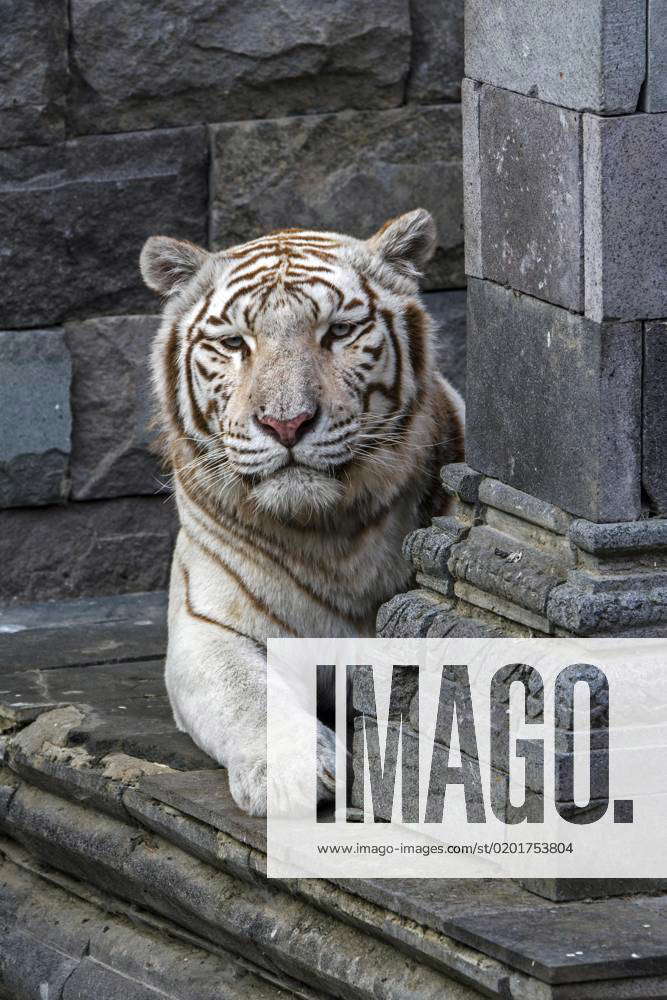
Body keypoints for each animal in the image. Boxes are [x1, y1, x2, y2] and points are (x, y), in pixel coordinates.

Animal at [139, 209, 464, 816]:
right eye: (234, 342)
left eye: (337, 332)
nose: (286, 423)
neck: (330, 535)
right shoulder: (205, 626)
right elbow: (248, 696)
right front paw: (294, 775)